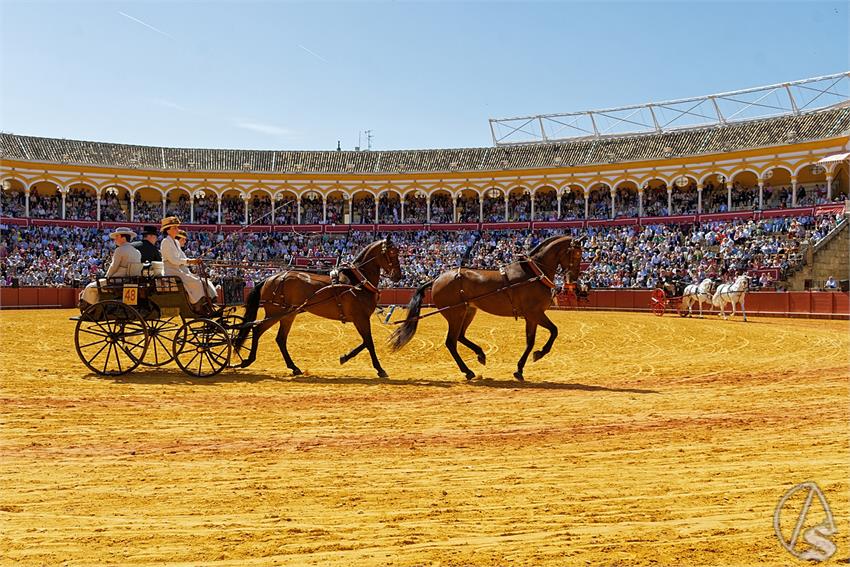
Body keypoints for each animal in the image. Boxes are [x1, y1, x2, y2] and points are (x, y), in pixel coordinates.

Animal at [234, 239, 402, 378]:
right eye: (392, 253)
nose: (398, 276)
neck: (358, 282)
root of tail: (269, 278)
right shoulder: (360, 318)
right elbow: (369, 342)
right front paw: (379, 369)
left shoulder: (360, 319)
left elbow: (366, 342)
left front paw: (344, 357)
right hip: (275, 313)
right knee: (257, 330)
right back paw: (248, 360)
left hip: (288, 315)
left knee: (280, 339)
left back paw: (294, 367)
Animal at [390, 235, 584, 382]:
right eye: (576, 255)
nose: (573, 282)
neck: (533, 274)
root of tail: (437, 278)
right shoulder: (535, 313)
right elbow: (554, 331)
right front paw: (539, 354)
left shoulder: (532, 317)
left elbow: (531, 342)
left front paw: (520, 369)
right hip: (455, 314)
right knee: (451, 342)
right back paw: (468, 371)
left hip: (468, 311)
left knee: (460, 337)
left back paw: (480, 354)